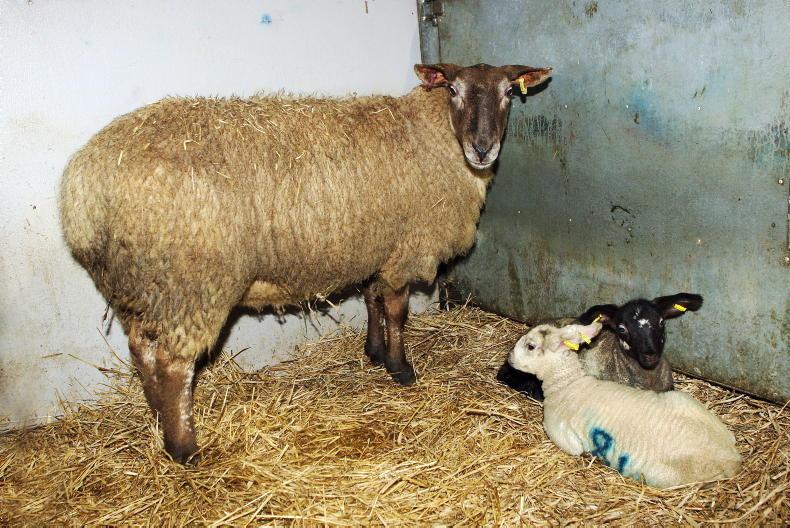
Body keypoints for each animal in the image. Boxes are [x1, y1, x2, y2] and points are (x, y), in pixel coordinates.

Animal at [59, 63, 552, 463]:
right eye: (453, 88)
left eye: (508, 93)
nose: (483, 148)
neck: (433, 137)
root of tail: (84, 193)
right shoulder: (404, 248)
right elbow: (396, 311)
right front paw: (401, 370)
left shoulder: (373, 246)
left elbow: (372, 299)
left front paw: (374, 354)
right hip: (191, 286)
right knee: (173, 366)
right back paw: (185, 448)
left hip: (139, 289)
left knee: (142, 353)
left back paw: (160, 422)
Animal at [507, 321, 741, 488]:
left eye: (530, 346)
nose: (509, 357)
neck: (566, 385)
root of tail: (731, 457)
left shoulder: (564, 438)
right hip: (682, 399)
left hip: (659, 476)